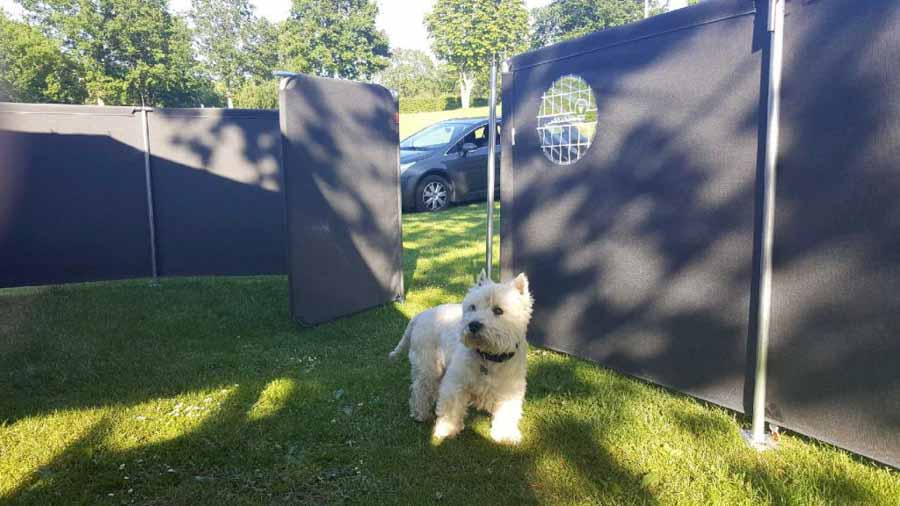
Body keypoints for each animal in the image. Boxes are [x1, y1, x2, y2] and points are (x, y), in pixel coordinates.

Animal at [388, 268, 532, 442]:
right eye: (472, 307)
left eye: (498, 310)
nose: (473, 325)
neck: (488, 356)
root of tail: (419, 316)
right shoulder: (456, 382)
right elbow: (451, 407)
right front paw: (447, 430)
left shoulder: (510, 389)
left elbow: (507, 411)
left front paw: (506, 435)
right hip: (428, 366)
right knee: (420, 389)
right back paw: (421, 414)